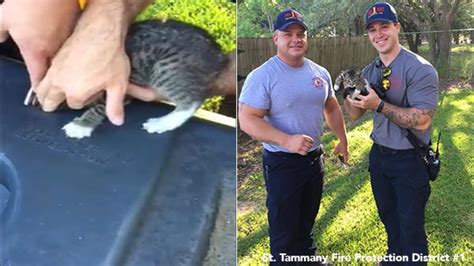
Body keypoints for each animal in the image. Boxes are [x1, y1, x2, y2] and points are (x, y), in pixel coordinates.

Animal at [62, 18, 229, 139]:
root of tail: (218, 53)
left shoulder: (117, 85)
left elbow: (102, 105)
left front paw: (81, 125)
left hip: (166, 68)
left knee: (192, 102)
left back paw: (161, 123)